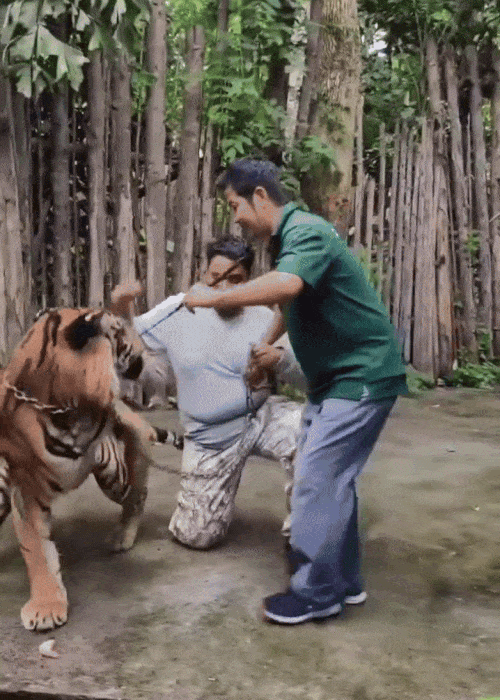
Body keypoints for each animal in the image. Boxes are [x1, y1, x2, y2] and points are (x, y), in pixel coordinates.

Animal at [0, 307, 181, 632]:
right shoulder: (24, 487)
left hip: (113, 474)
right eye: (120, 330)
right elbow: (36, 549)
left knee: (138, 492)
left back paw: (123, 536)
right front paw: (46, 606)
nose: (145, 345)